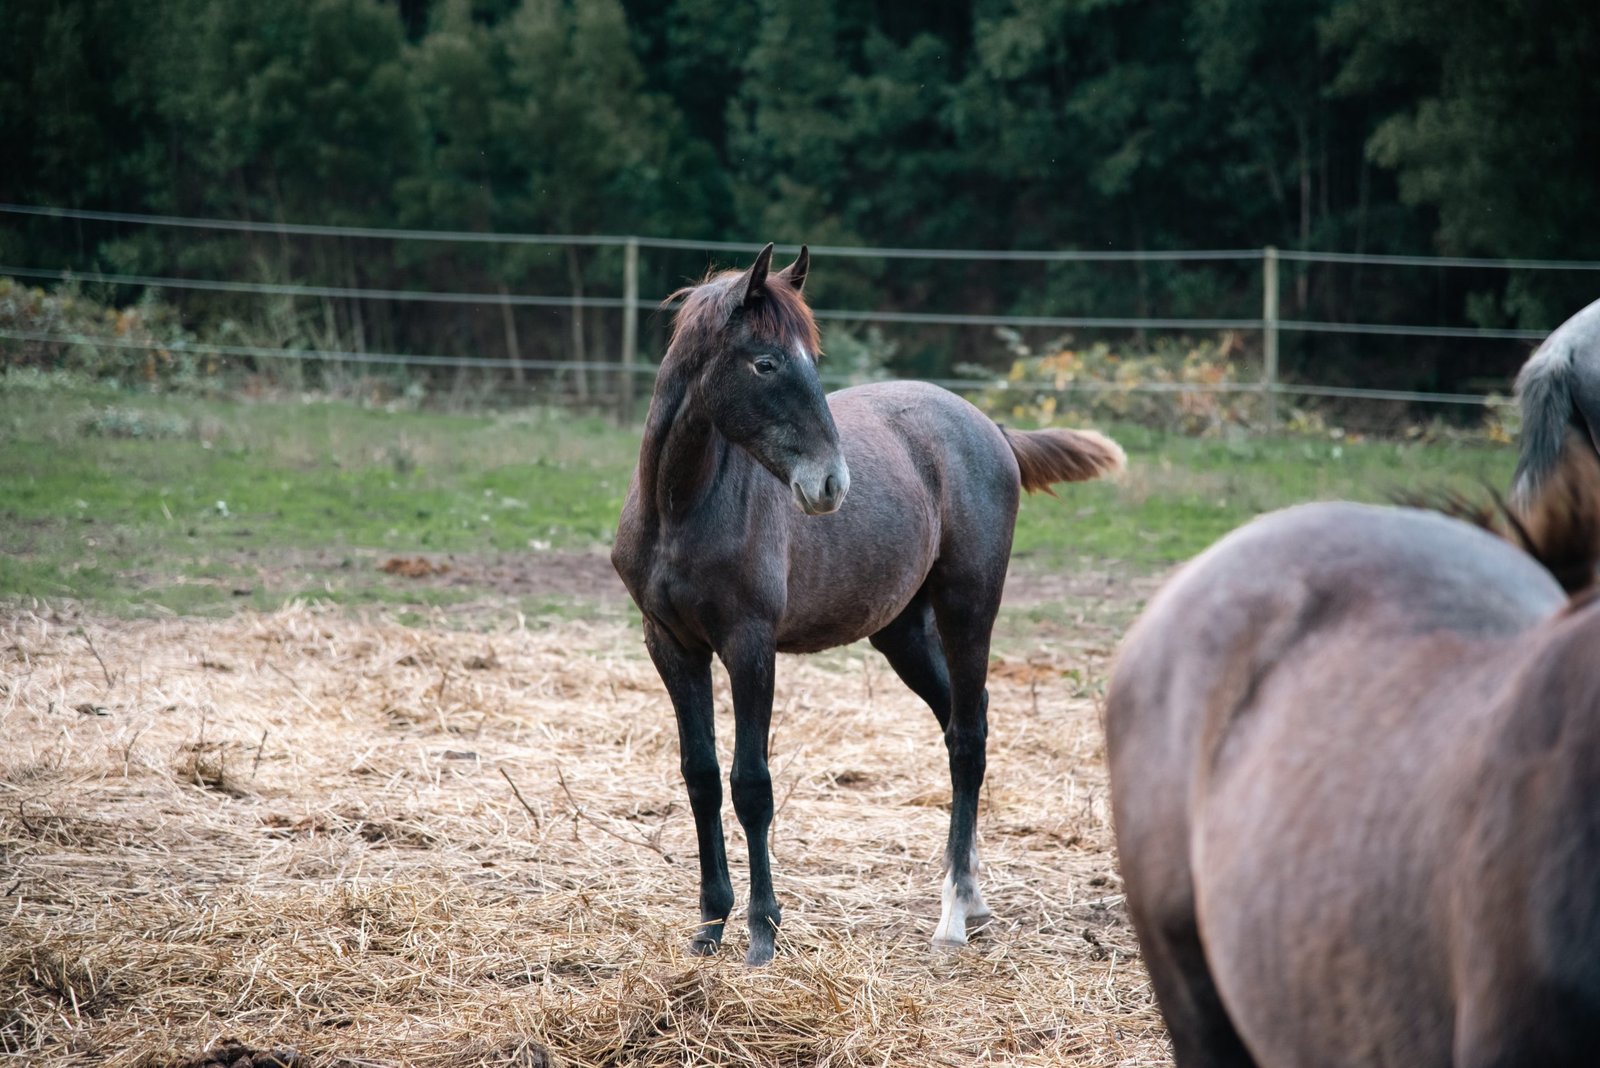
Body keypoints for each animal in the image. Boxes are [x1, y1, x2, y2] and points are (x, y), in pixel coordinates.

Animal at [611, 243, 1125, 965]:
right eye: (766, 362)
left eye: (813, 357)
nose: (831, 484)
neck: (681, 509)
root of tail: (989, 427)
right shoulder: (670, 644)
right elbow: (702, 777)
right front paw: (709, 927)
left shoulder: (750, 645)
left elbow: (752, 785)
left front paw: (763, 932)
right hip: (903, 633)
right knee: (961, 721)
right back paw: (973, 898)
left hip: (969, 606)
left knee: (968, 737)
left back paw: (952, 915)